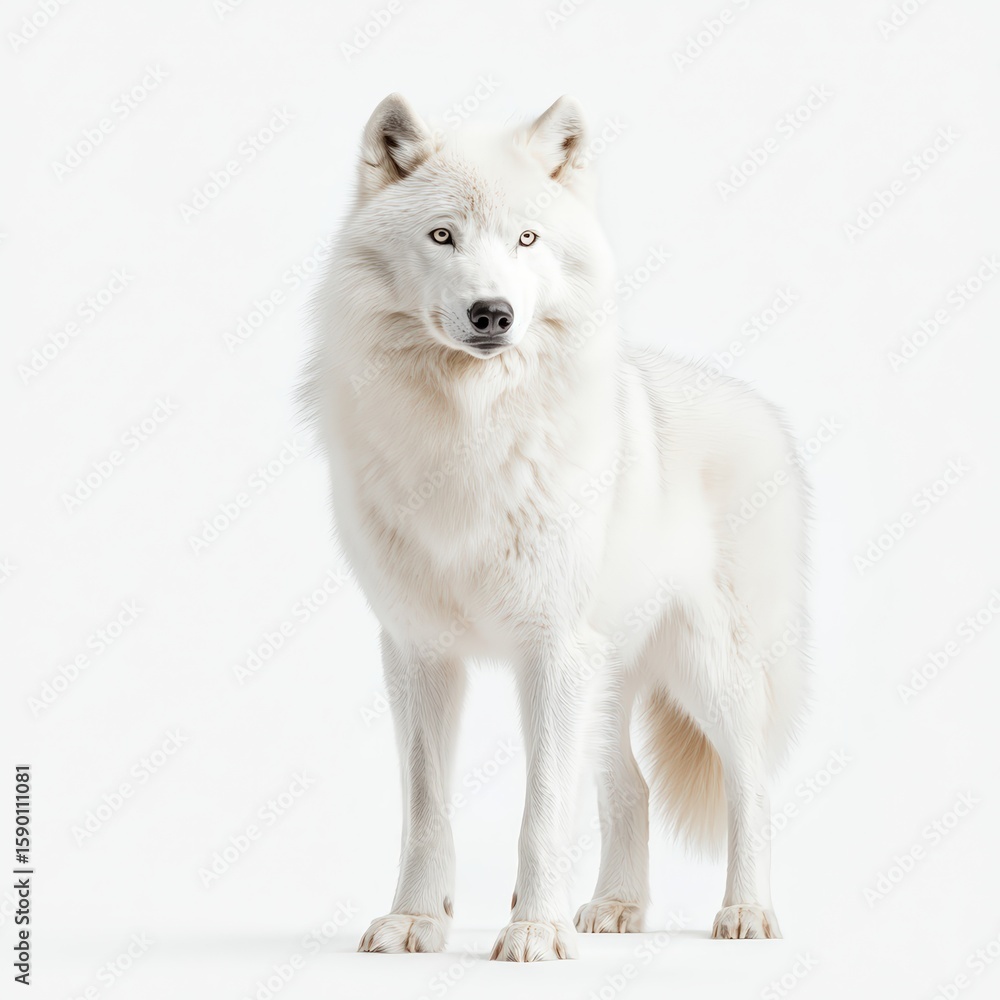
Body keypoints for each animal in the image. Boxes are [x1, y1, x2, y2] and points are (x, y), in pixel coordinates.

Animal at [301, 94, 808, 962]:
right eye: (443, 236)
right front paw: (416, 920)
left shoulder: (551, 651)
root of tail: (758, 406)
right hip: (608, 683)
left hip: (711, 671)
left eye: (527, 240)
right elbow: (425, 811)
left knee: (754, 788)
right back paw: (614, 907)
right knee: (632, 788)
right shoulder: (419, 653)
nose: (492, 313)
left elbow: (541, 814)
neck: (470, 429)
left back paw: (745, 912)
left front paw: (534, 931)